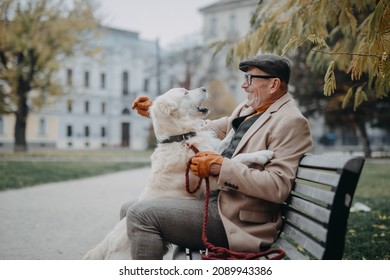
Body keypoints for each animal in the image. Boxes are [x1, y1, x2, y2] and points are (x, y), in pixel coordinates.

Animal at [84, 88, 272, 260]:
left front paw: (236, 123)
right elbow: (235, 159)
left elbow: (222, 145)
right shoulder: (209, 181)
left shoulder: (207, 151)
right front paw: (261, 154)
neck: (181, 138)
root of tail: (105, 246)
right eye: (185, 92)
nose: (204, 88)